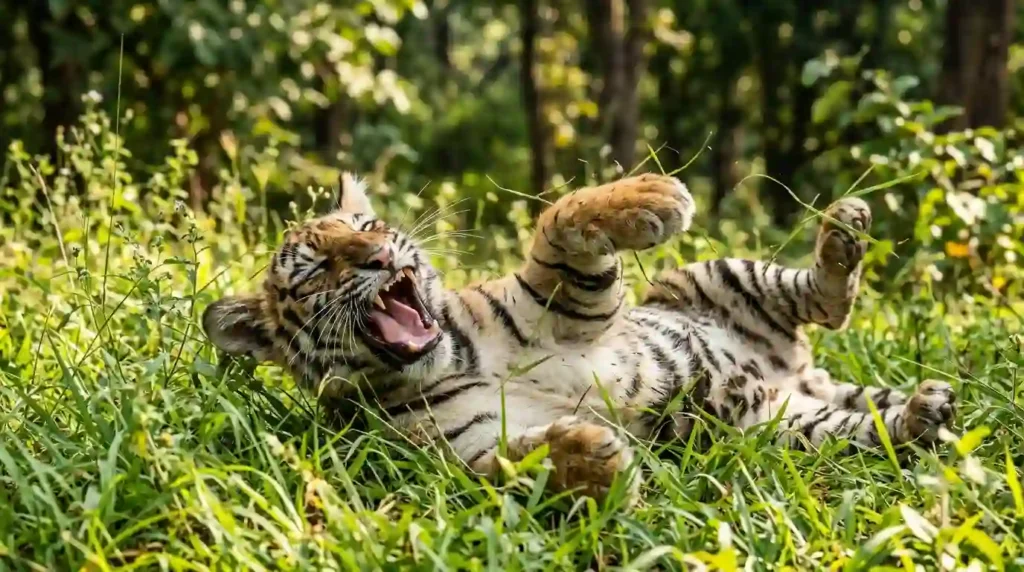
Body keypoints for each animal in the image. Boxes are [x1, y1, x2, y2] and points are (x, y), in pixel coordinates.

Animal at [203, 172, 956, 503]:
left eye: (363, 229)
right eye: (316, 271)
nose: (377, 259)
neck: (450, 358)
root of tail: (797, 373)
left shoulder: (569, 305)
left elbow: (560, 220)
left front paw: (652, 197)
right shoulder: (465, 452)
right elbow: (520, 463)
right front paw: (590, 452)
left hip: (711, 278)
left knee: (826, 299)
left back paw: (845, 230)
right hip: (788, 429)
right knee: (870, 423)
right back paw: (926, 412)